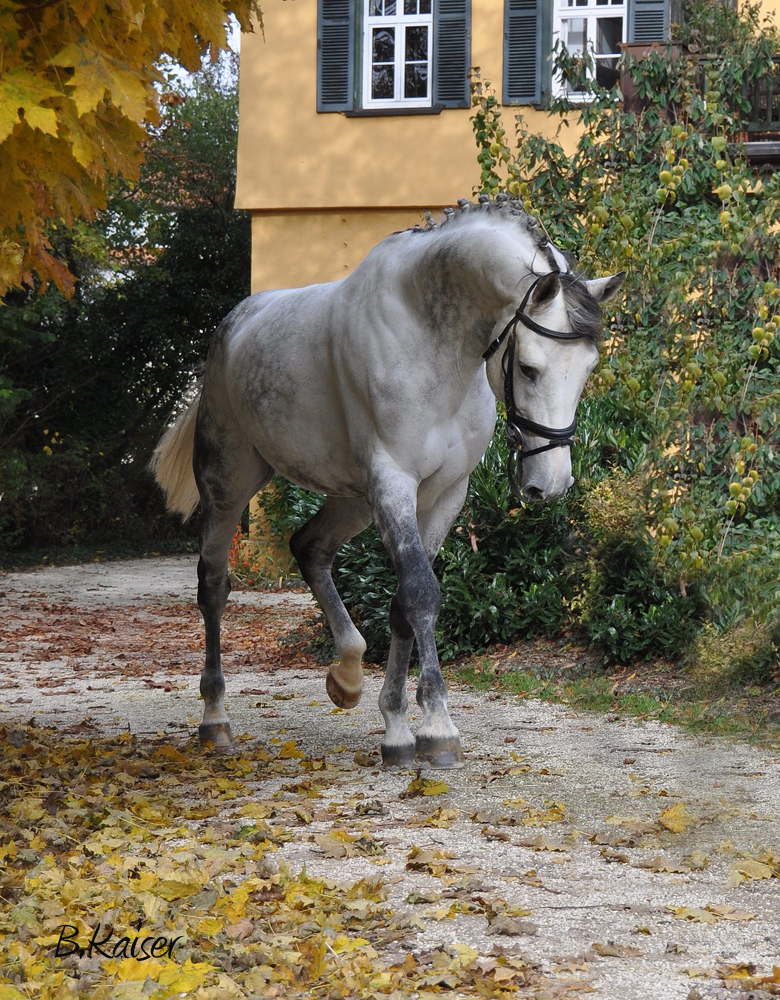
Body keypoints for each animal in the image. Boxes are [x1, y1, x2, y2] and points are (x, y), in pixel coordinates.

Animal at [152, 199, 624, 768]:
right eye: (530, 369)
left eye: (588, 368)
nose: (548, 486)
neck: (432, 338)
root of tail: (230, 329)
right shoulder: (394, 482)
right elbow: (420, 593)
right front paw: (439, 728)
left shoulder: (443, 494)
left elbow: (402, 604)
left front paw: (397, 729)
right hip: (229, 485)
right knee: (214, 587)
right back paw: (216, 719)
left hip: (354, 499)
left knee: (309, 547)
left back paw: (347, 674)